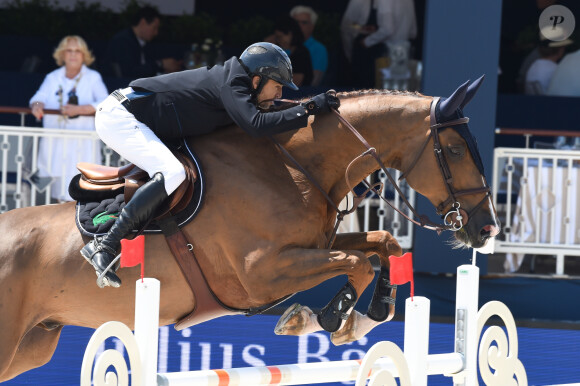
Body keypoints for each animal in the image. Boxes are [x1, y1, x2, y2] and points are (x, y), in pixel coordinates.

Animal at [0, 77, 498, 382]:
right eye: (455, 150)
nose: (487, 229)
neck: (292, 166)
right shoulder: (261, 273)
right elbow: (356, 261)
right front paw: (325, 318)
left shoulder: (312, 245)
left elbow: (383, 243)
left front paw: (367, 315)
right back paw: (102, 255)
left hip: (33, 344)